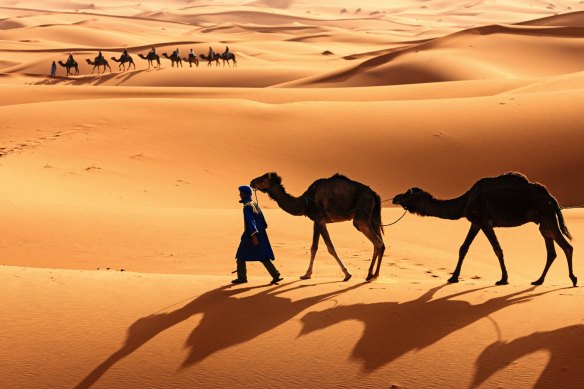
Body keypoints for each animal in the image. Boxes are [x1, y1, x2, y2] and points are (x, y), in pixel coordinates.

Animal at [250, 171, 384, 280]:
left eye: (262, 179)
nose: (252, 182)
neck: (305, 202)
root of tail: (374, 194)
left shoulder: (320, 219)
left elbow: (331, 248)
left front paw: (347, 274)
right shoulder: (316, 221)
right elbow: (314, 247)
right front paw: (306, 274)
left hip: (361, 217)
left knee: (377, 242)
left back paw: (371, 275)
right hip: (372, 217)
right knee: (380, 244)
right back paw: (374, 274)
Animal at [392, 171, 576, 286]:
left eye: (408, 194)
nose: (395, 198)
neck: (465, 201)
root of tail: (550, 197)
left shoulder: (484, 220)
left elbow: (497, 249)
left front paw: (503, 279)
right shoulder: (476, 222)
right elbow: (463, 248)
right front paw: (453, 277)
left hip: (547, 216)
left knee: (567, 246)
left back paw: (573, 279)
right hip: (543, 222)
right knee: (551, 251)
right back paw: (538, 281)